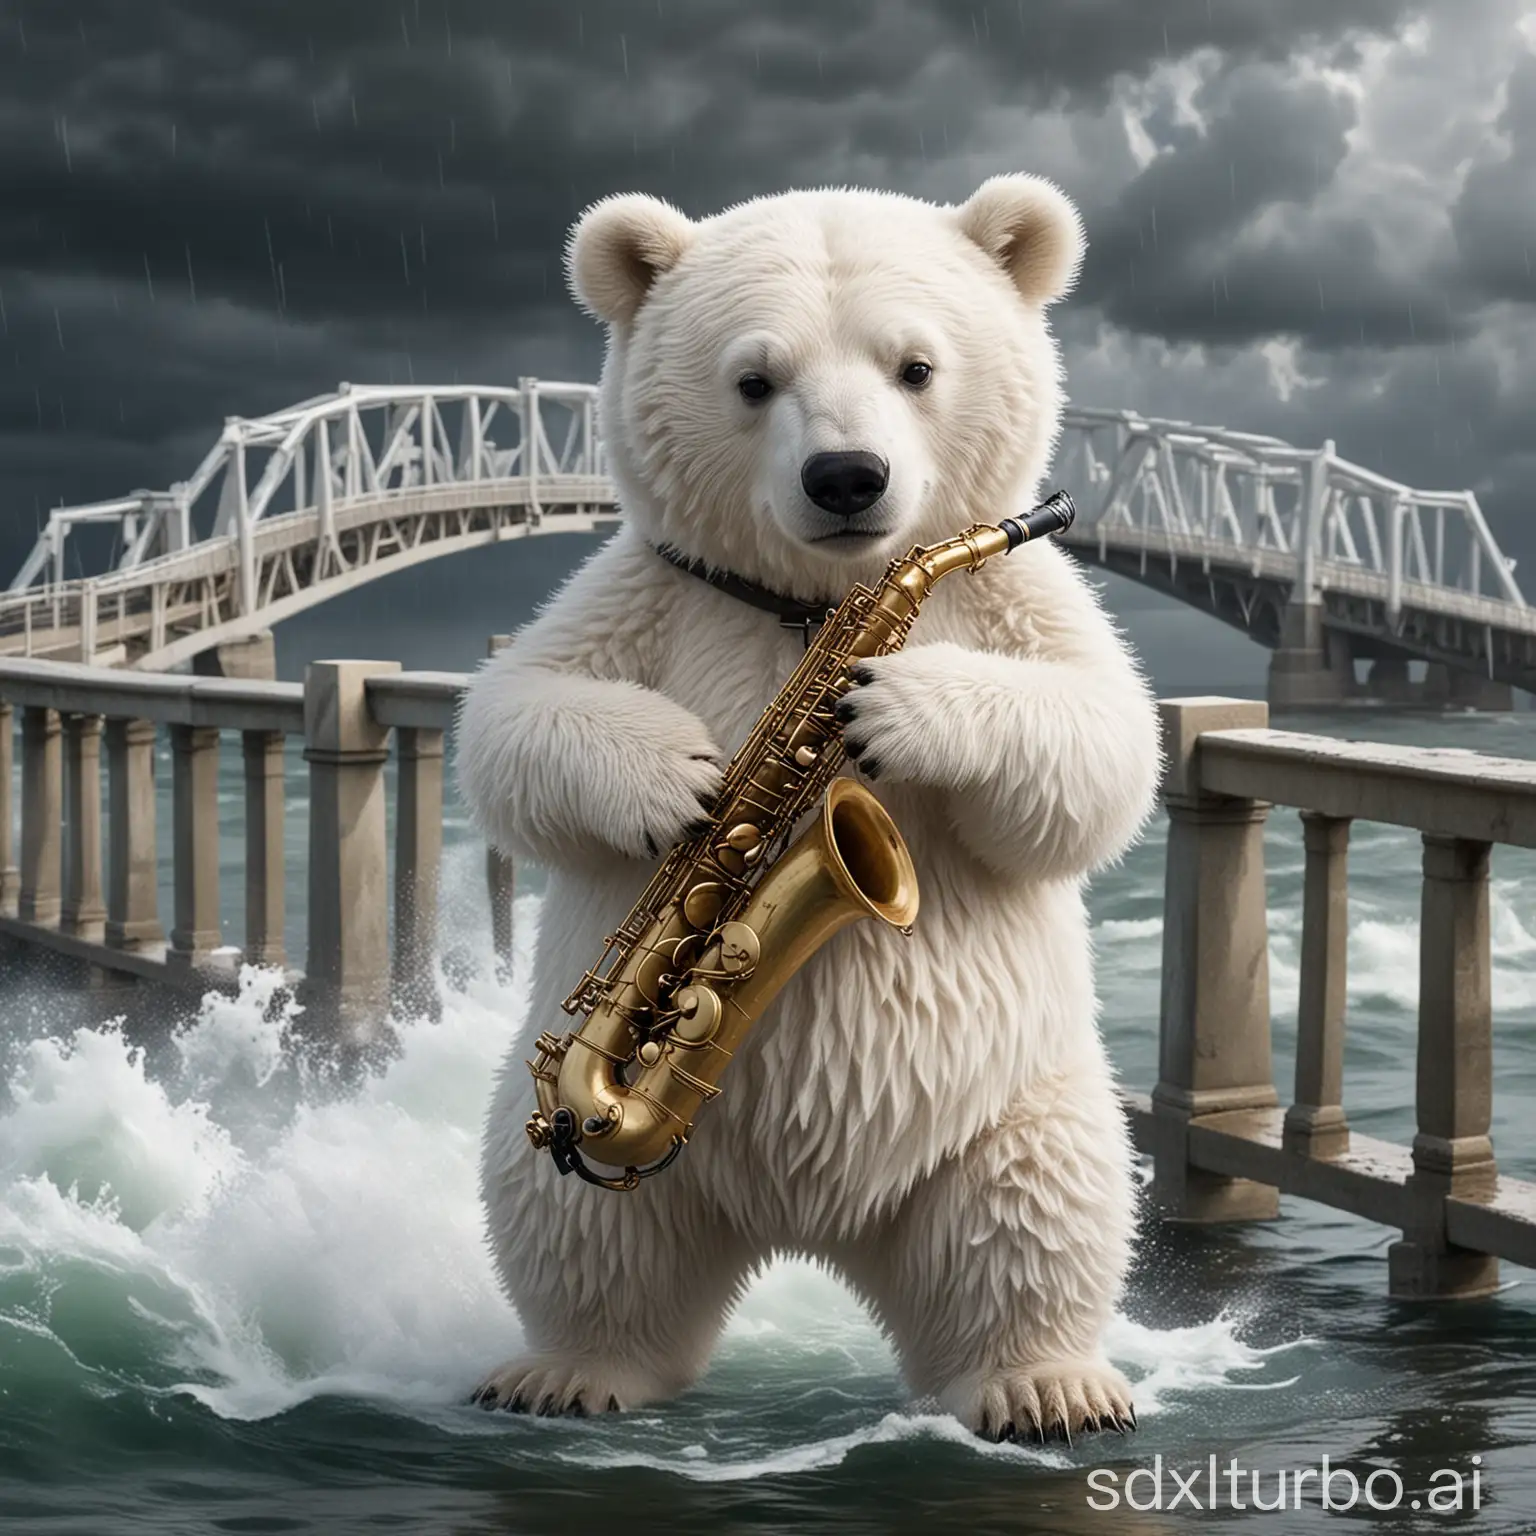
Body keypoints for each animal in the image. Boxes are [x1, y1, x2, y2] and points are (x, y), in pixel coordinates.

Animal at [454, 176, 1161, 1437]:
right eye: (754, 380)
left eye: (916, 368)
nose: (847, 478)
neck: (808, 602)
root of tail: (809, 1235)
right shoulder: (643, 589)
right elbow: (513, 718)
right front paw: (680, 780)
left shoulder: (1018, 597)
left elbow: (1102, 750)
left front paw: (903, 708)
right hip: (577, 1151)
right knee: (576, 1230)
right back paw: (570, 1374)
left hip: (1015, 1115)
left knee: (1033, 1221)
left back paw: (1046, 1387)